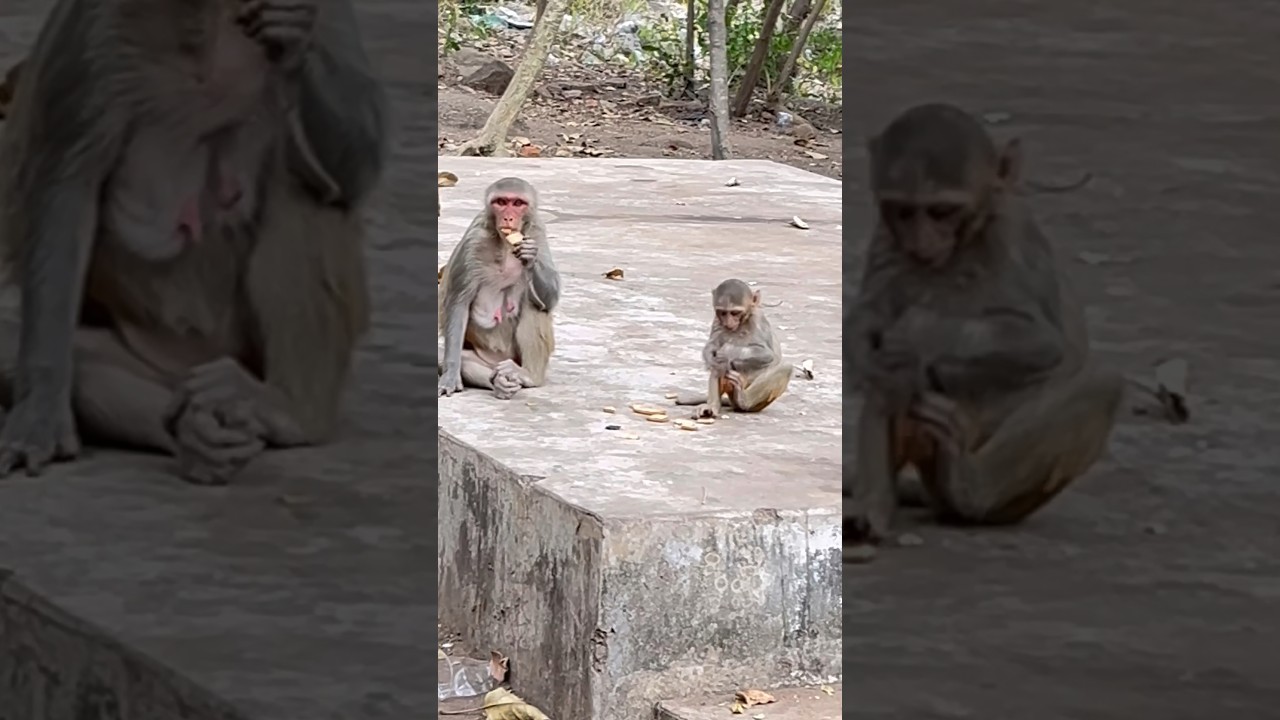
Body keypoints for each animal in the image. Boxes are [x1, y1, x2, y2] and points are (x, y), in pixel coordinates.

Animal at [0, 0, 388, 484]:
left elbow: (354, 172)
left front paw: (296, 39)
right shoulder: (96, 18)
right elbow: (68, 185)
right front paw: (40, 414)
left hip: (247, 350)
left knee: (302, 187)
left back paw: (290, 410)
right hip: (164, 360)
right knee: (71, 355)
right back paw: (194, 436)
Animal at [438, 177, 560, 400]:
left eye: (518, 203)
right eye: (501, 202)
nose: (508, 217)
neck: (505, 244)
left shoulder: (537, 231)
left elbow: (550, 300)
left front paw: (531, 257)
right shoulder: (474, 239)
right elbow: (458, 304)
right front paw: (450, 376)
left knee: (534, 305)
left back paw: (527, 375)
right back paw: (499, 383)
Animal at [675, 279, 793, 418]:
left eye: (735, 313)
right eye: (722, 313)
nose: (728, 322)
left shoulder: (758, 319)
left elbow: (767, 354)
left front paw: (728, 350)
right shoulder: (717, 319)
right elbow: (712, 346)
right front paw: (710, 356)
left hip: (758, 400)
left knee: (785, 367)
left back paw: (743, 400)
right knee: (719, 365)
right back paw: (713, 406)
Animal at [846, 102, 1123, 543]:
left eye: (941, 211)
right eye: (904, 211)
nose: (921, 242)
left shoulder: (1013, 235)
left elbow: (1043, 342)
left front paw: (917, 328)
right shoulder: (886, 235)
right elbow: (869, 316)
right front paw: (864, 348)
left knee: (1102, 382)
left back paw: (968, 489)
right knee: (894, 380)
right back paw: (874, 510)